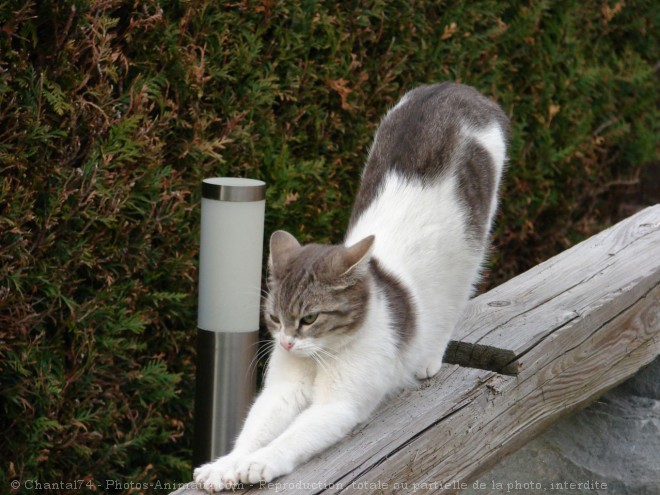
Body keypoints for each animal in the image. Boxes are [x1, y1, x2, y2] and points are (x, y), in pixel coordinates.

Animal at [193, 82, 508, 492]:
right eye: (275, 318)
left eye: (309, 318)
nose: (287, 343)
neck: (320, 355)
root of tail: (457, 89)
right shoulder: (280, 391)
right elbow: (254, 428)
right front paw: (227, 464)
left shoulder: (338, 405)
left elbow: (290, 438)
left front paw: (259, 462)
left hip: (472, 251)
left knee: (454, 301)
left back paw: (428, 357)